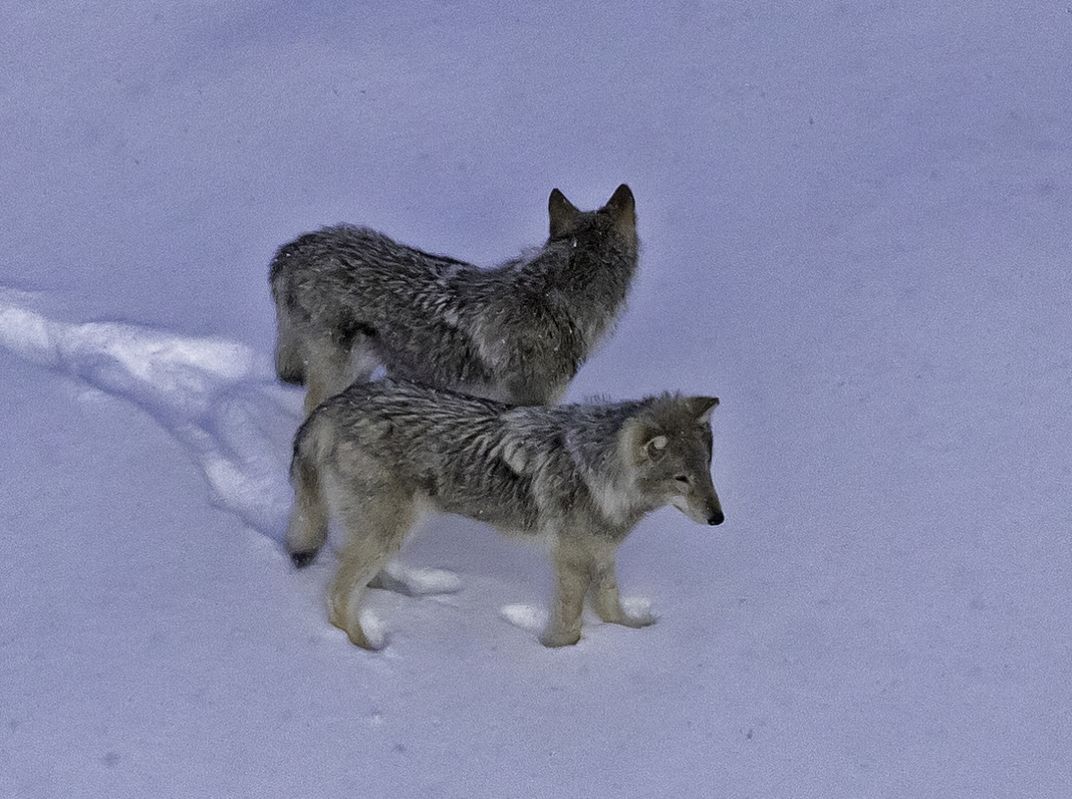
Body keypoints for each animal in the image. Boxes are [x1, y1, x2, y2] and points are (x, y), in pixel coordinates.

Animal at [285, 379, 724, 647]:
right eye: (681, 479)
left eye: (707, 469)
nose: (718, 519)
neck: (597, 470)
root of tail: (332, 404)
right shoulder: (571, 560)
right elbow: (570, 625)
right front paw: (560, 655)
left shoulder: (600, 554)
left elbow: (612, 606)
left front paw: (637, 632)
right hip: (389, 530)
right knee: (338, 596)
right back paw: (366, 649)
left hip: (388, 532)